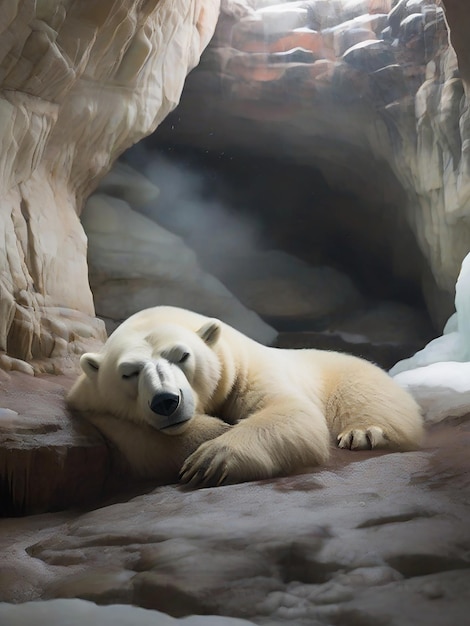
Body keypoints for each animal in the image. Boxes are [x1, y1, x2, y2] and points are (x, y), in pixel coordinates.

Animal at [68, 304, 424, 486]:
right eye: (129, 372)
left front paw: (211, 460)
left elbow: (290, 412)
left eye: (182, 356)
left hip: (351, 376)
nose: (166, 401)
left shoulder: (245, 370)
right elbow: (136, 436)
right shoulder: (88, 400)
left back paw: (364, 433)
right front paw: (210, 434)